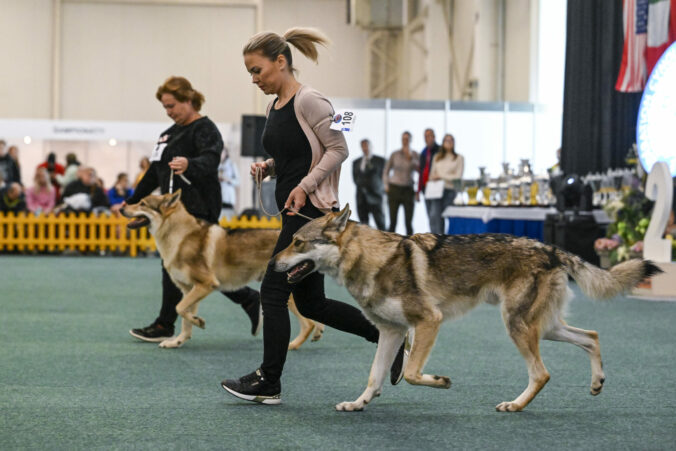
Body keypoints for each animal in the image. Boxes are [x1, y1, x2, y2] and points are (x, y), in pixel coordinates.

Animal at [121, 191, 322, 350]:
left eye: (142, 203)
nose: (121, 208)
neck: (180, 237)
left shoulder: (205, 285)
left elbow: (180, 309)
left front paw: (198, 322)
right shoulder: (188, 289)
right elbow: (184, 319)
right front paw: (177, 341)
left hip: (288, 297)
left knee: (308, 324)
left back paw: (292, 345)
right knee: (313, 319)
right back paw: (317, 333)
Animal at [272, 205, 664, 414]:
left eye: (297, 242)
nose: (272, 263)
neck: (372, 260)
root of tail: (552, 249)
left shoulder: (428, 322)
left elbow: (411, 372)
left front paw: (440, 381)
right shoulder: (392, 332)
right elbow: (374, 376)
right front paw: (358, 404)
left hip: (518, 326)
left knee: (542, 373)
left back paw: (515, 406)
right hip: (543, 327)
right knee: (592, 336)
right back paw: (597, 384)